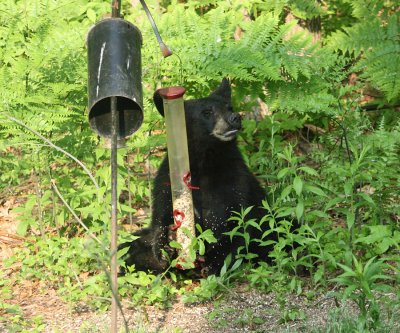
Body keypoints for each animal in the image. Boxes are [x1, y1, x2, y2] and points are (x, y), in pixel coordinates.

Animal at [121, 79, 272, 274]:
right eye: (207, 112)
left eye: (229, 107)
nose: (235, 118)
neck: (204, 160)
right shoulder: (166, 180)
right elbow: (161, 215)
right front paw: (166, 244)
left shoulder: (235, 180)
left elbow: (235, 221)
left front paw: (214, 263)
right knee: (129, 246)